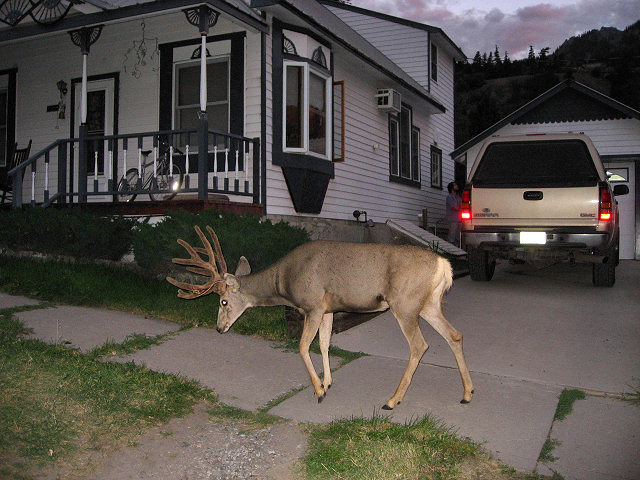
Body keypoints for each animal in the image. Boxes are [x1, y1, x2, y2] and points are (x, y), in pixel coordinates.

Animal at [167, 225, 474, 410]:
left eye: (223, 301)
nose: (219, 328)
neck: (284, 282)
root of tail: (443, 264)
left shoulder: (313, 305)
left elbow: (303, 346)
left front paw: (318, 391)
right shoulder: (328, 309)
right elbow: (324, 344)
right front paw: (327, 382)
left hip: (405, 303)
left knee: (420, 345)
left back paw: (392, 399)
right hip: (428, 304)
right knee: (455, 335)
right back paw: (467, 393)